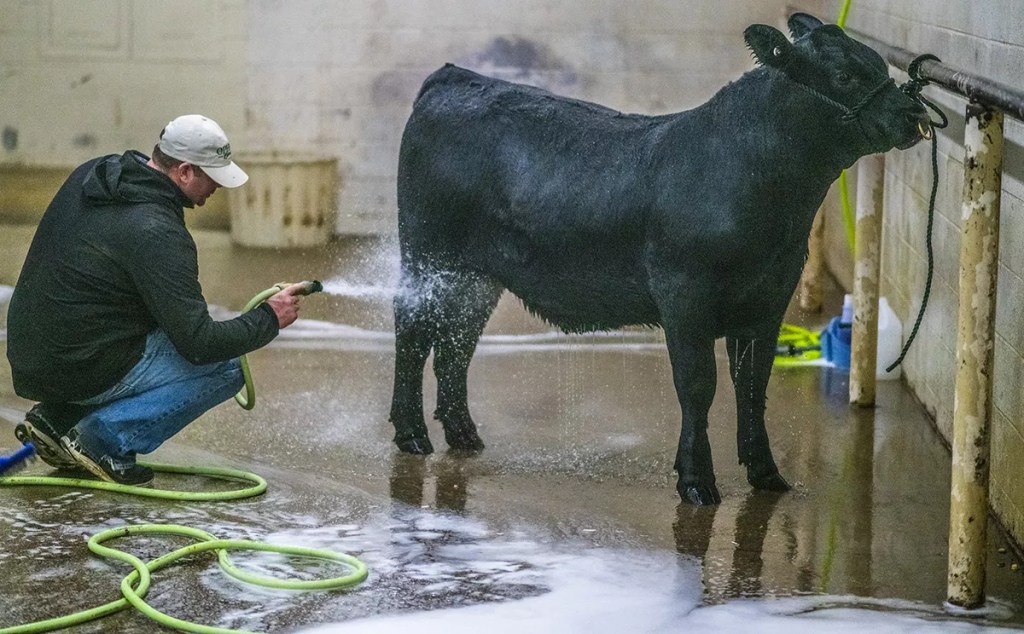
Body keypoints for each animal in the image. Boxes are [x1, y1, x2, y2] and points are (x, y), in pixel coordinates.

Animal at [388, 13, 929, 505]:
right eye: (844, 76)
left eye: (875, 61)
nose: (913, 114)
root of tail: (455, 76)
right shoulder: (685, 295)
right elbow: (697, 384)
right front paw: (696, 481)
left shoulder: (769, 297)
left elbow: (753, 386)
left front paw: (766, 474)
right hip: (426, 252)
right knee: (413, 329)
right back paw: (412, 433)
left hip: (477, 272)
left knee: (457, 338)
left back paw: (464, 434)